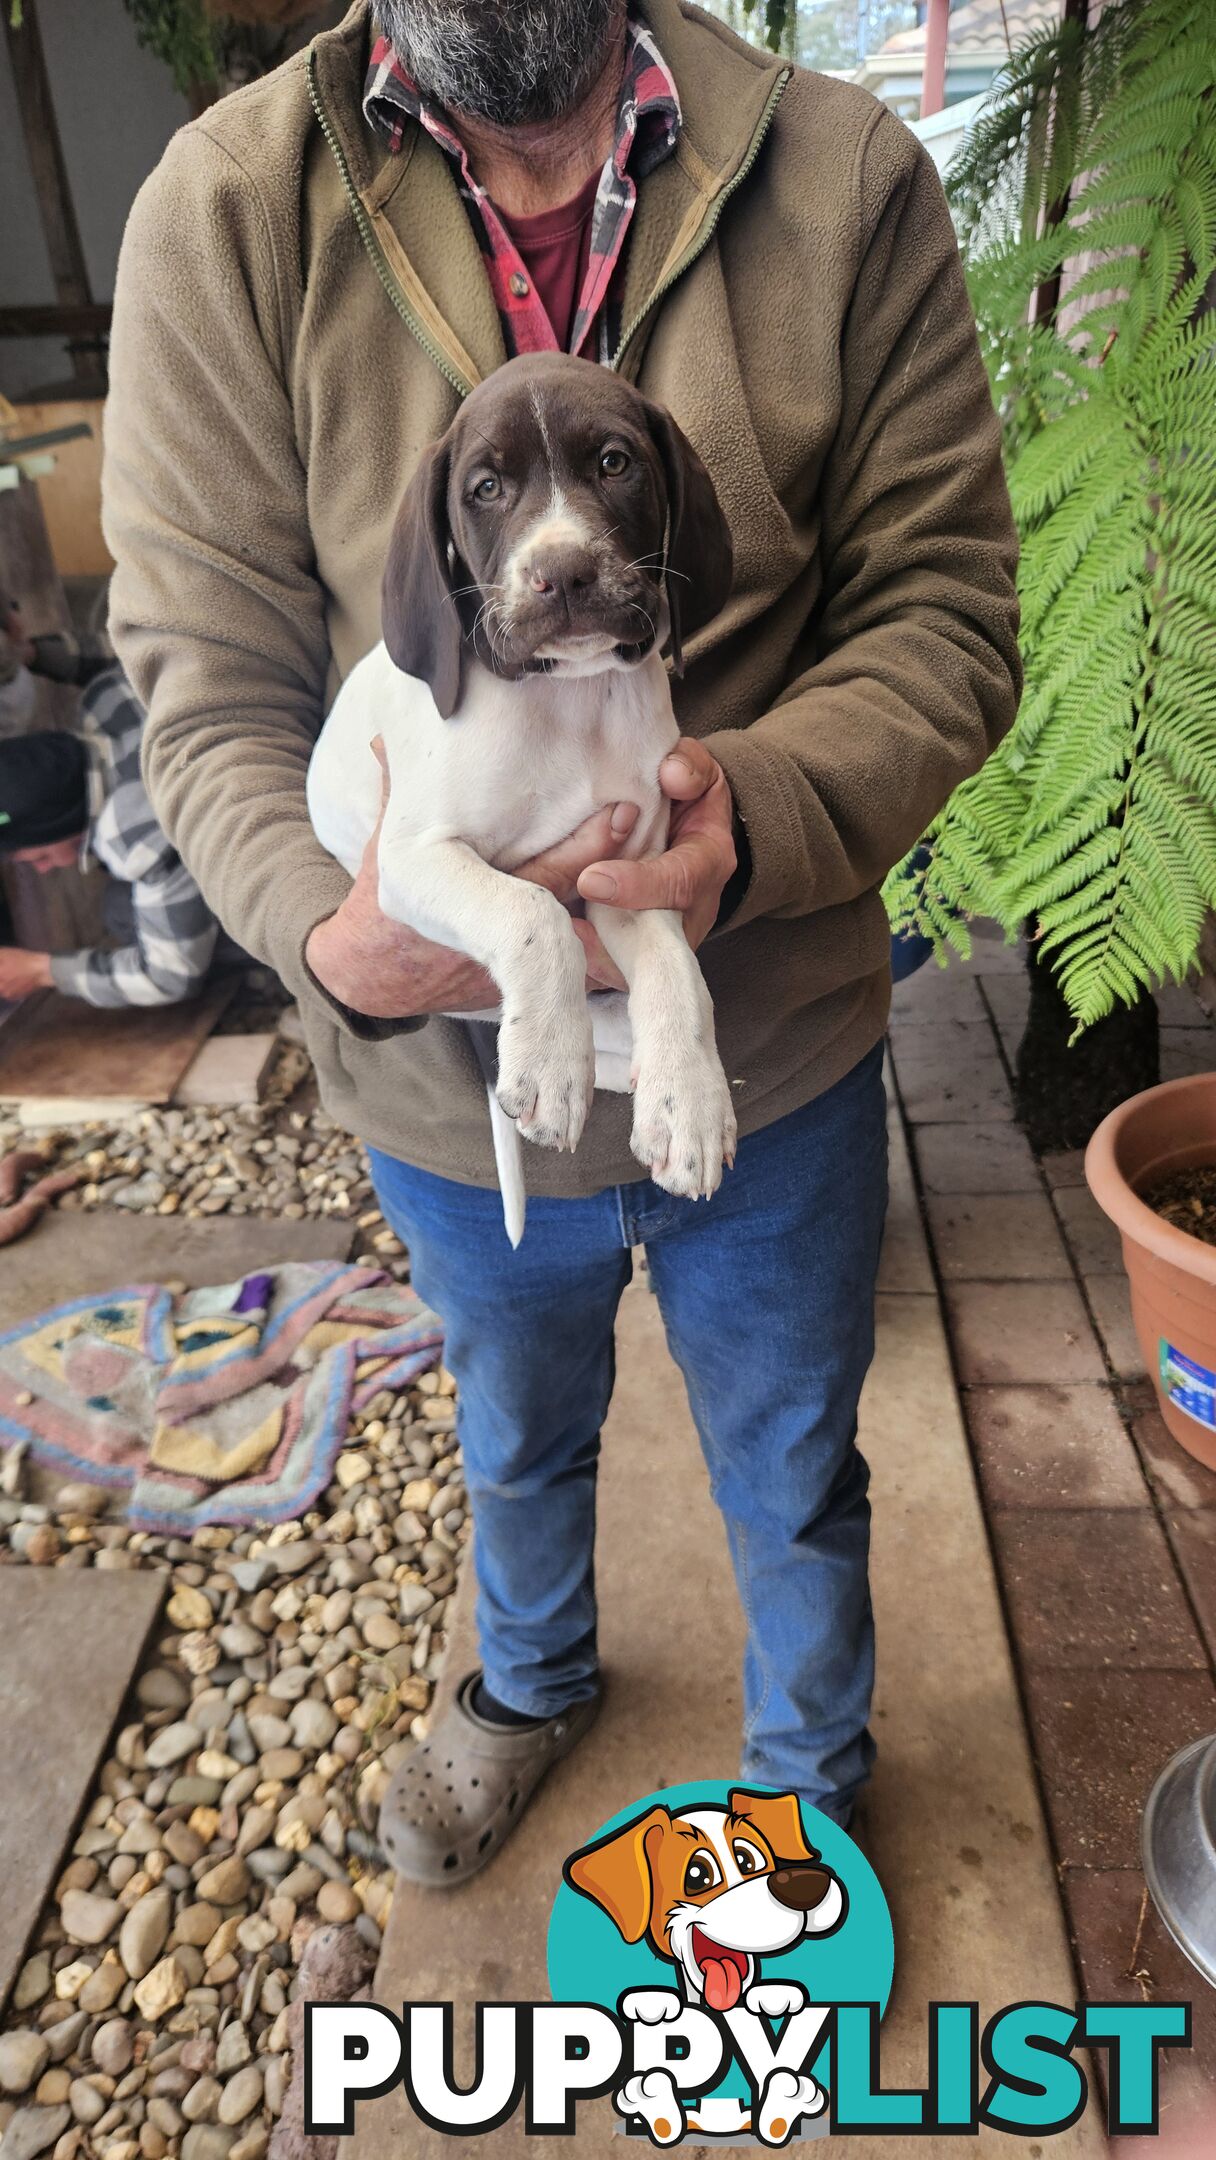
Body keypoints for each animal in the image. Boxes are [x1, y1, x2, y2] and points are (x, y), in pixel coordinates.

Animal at [308, 352, 738, 1244]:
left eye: (613, 463)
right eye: (486, 487)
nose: (563, 573)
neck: (568, 701)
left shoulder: (624, 873)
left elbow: (678, 971)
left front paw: (689, 1101)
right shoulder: (412, 859)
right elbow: (534, 916)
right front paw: (546, 1064)